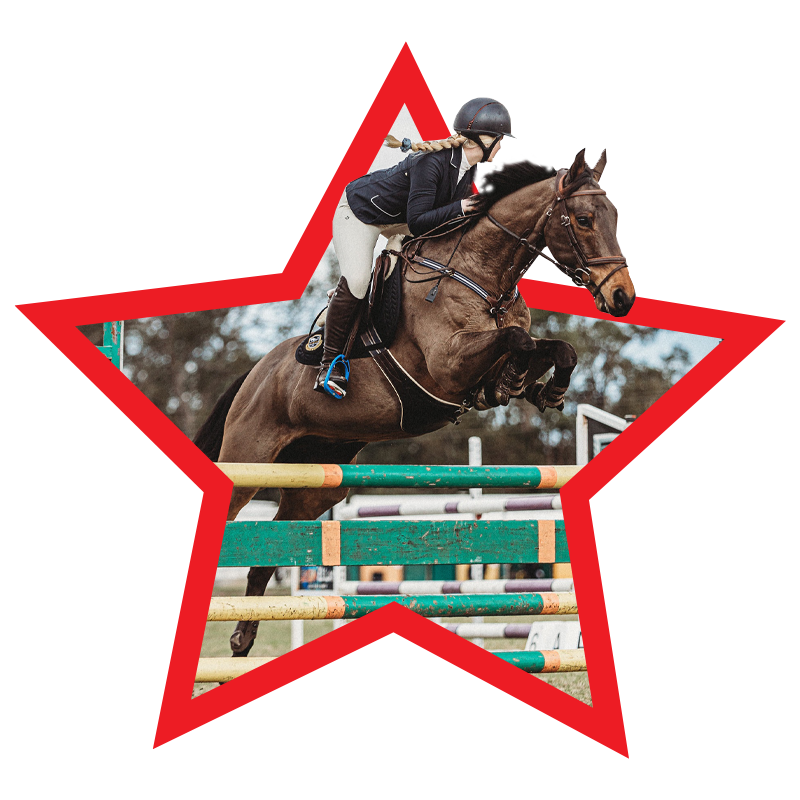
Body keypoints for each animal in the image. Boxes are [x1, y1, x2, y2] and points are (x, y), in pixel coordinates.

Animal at [194, 147, 635, 657]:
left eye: (615, 216)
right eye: (583, 219)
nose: (623, 297)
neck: (482, 276)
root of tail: (257, 372)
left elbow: (557, 349)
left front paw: (542, 387)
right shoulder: (448, 365)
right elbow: (518, 339)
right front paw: (515, 376)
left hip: (316, 482)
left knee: (271, 552)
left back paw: (242, 640)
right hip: (248, 460)